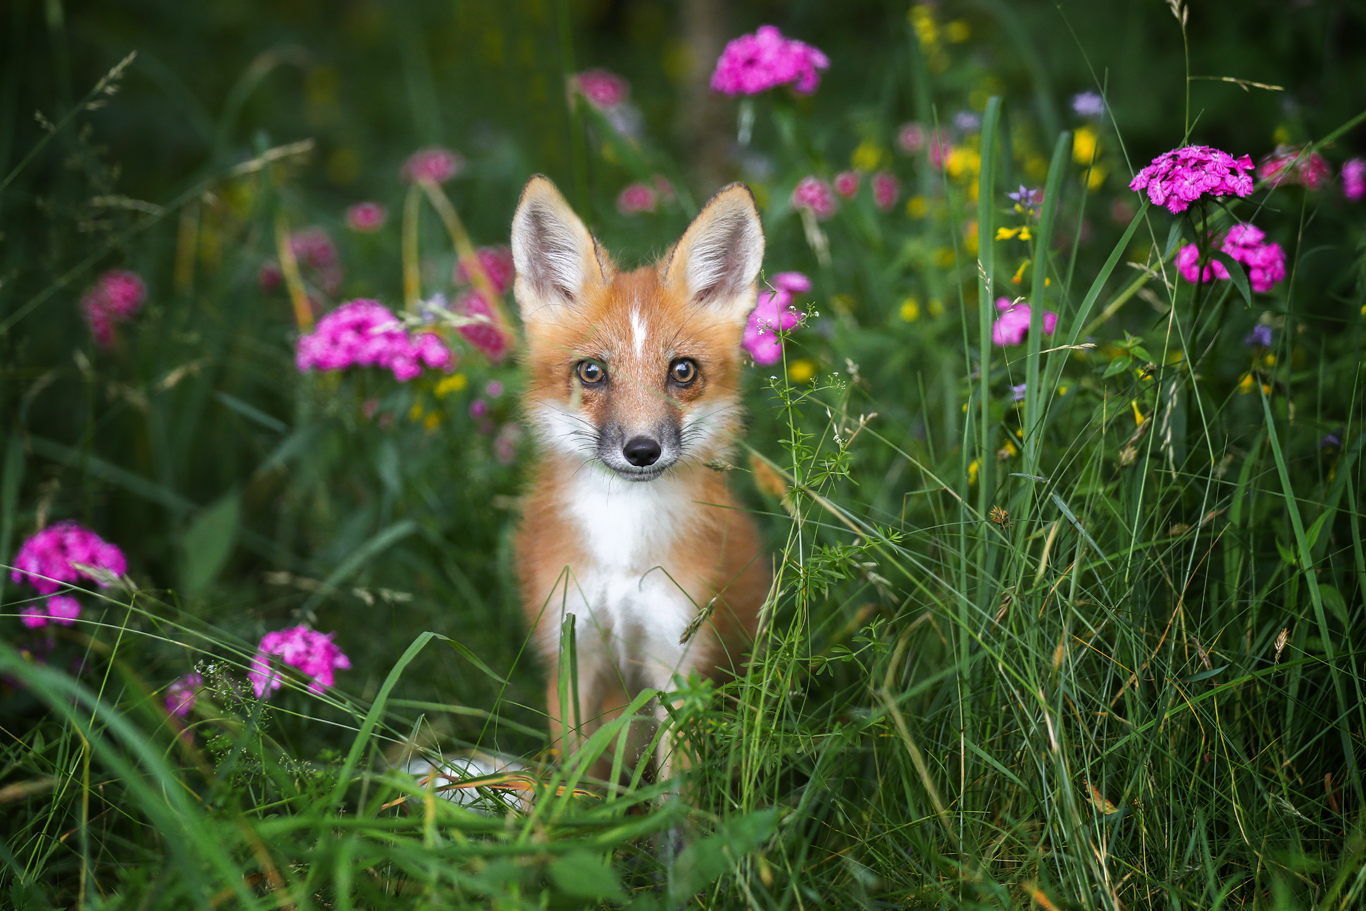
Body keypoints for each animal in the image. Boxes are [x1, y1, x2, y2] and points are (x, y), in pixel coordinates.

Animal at [510, 176, 770, 786]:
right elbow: (577, 778)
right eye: (592, 372)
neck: (622, 548)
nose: (642, 451)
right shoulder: (573, 649)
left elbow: (676, 794)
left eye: (682, 371)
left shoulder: (678, 660)